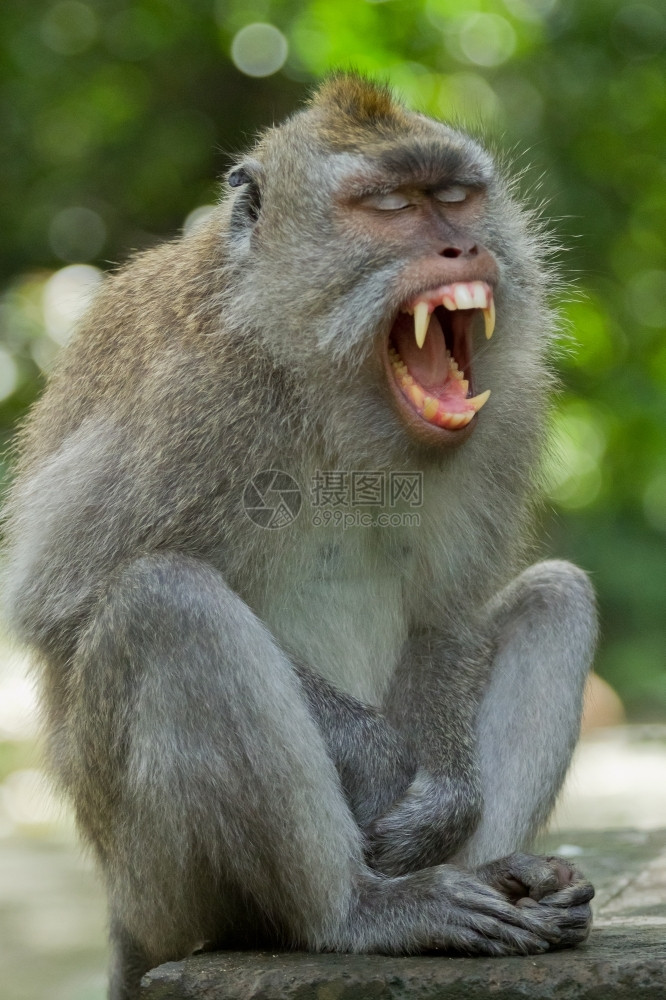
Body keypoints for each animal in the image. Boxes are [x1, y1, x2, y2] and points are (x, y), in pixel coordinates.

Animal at [1, 72, 596, 1000]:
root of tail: (125, 912)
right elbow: (60, 599)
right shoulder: (195, 400)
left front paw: (447, 796)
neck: (324, 385)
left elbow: (448, 613)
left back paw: (502, 874)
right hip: (159, 880)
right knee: (164, 603)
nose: (463, 248)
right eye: (391, 206)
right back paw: (362, 911)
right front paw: (385, 764)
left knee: (559, 596)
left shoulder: (509, 413)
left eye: (457, 198)